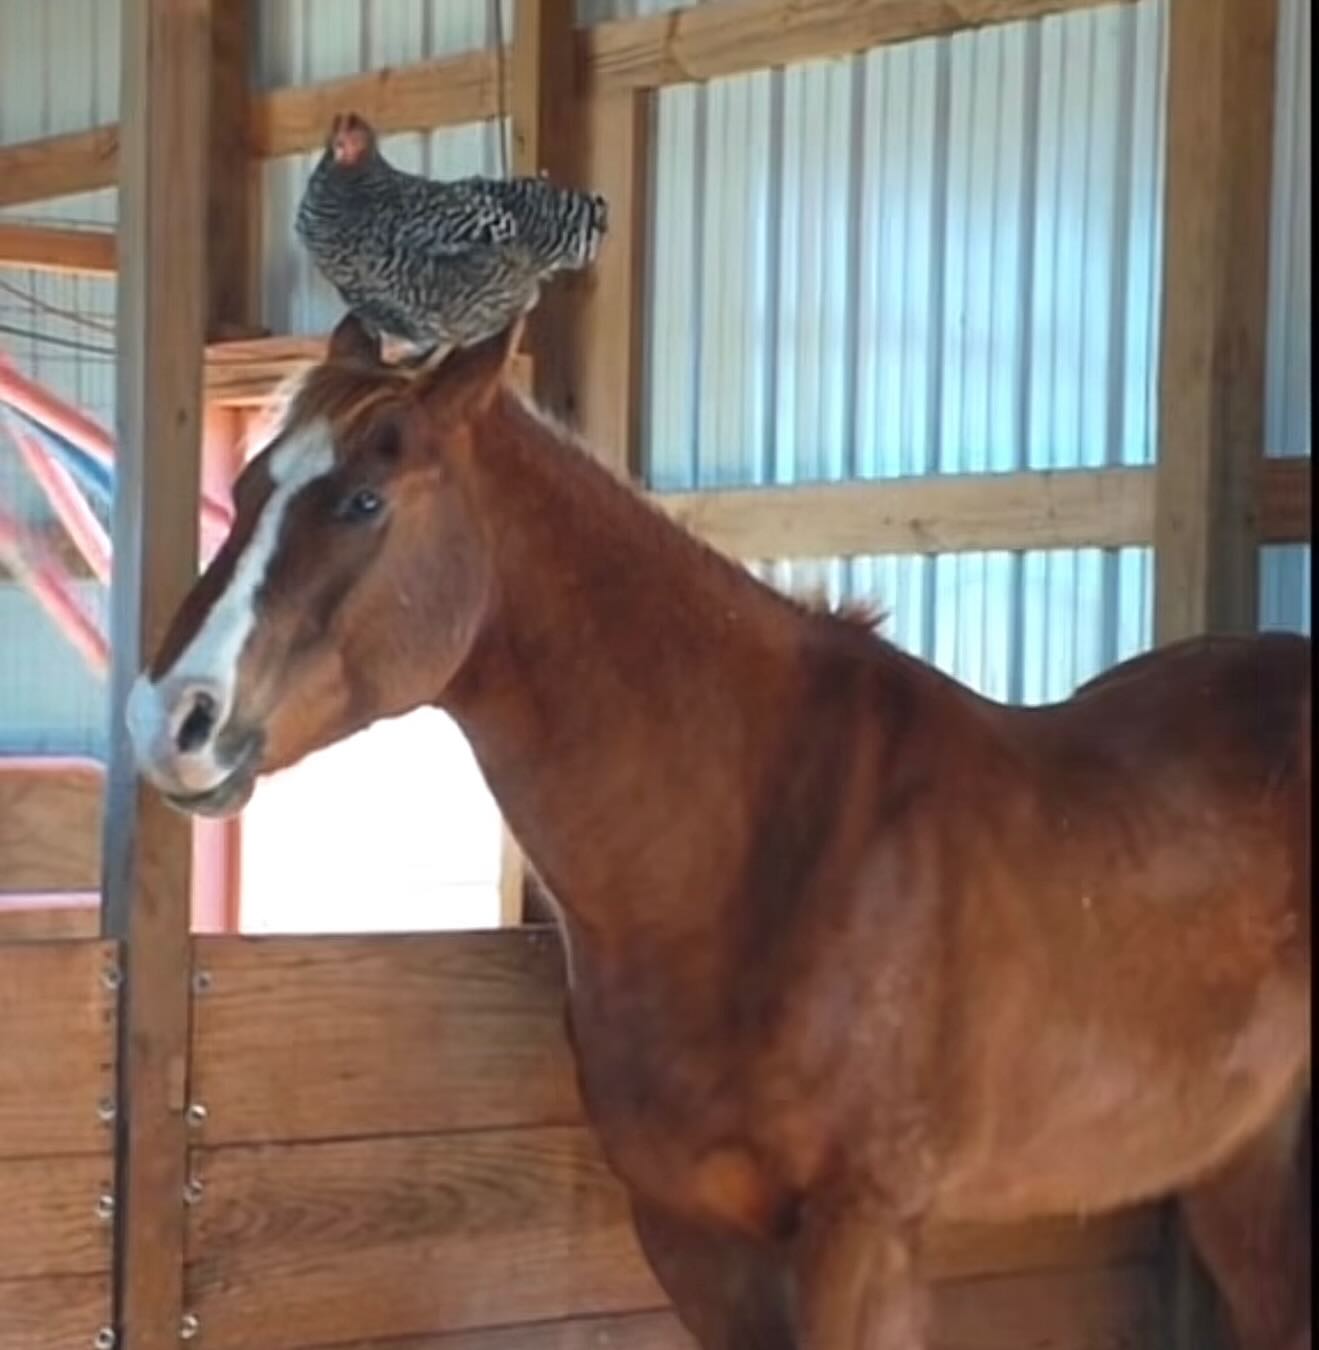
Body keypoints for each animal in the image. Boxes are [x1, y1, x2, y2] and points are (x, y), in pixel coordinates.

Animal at [126, 314, 1311, 1350]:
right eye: (246, 490)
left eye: (364, 499)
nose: (168, 719)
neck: (757, 849)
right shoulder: (693, 1234)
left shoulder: (860, 1233)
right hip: (1243, 1170)